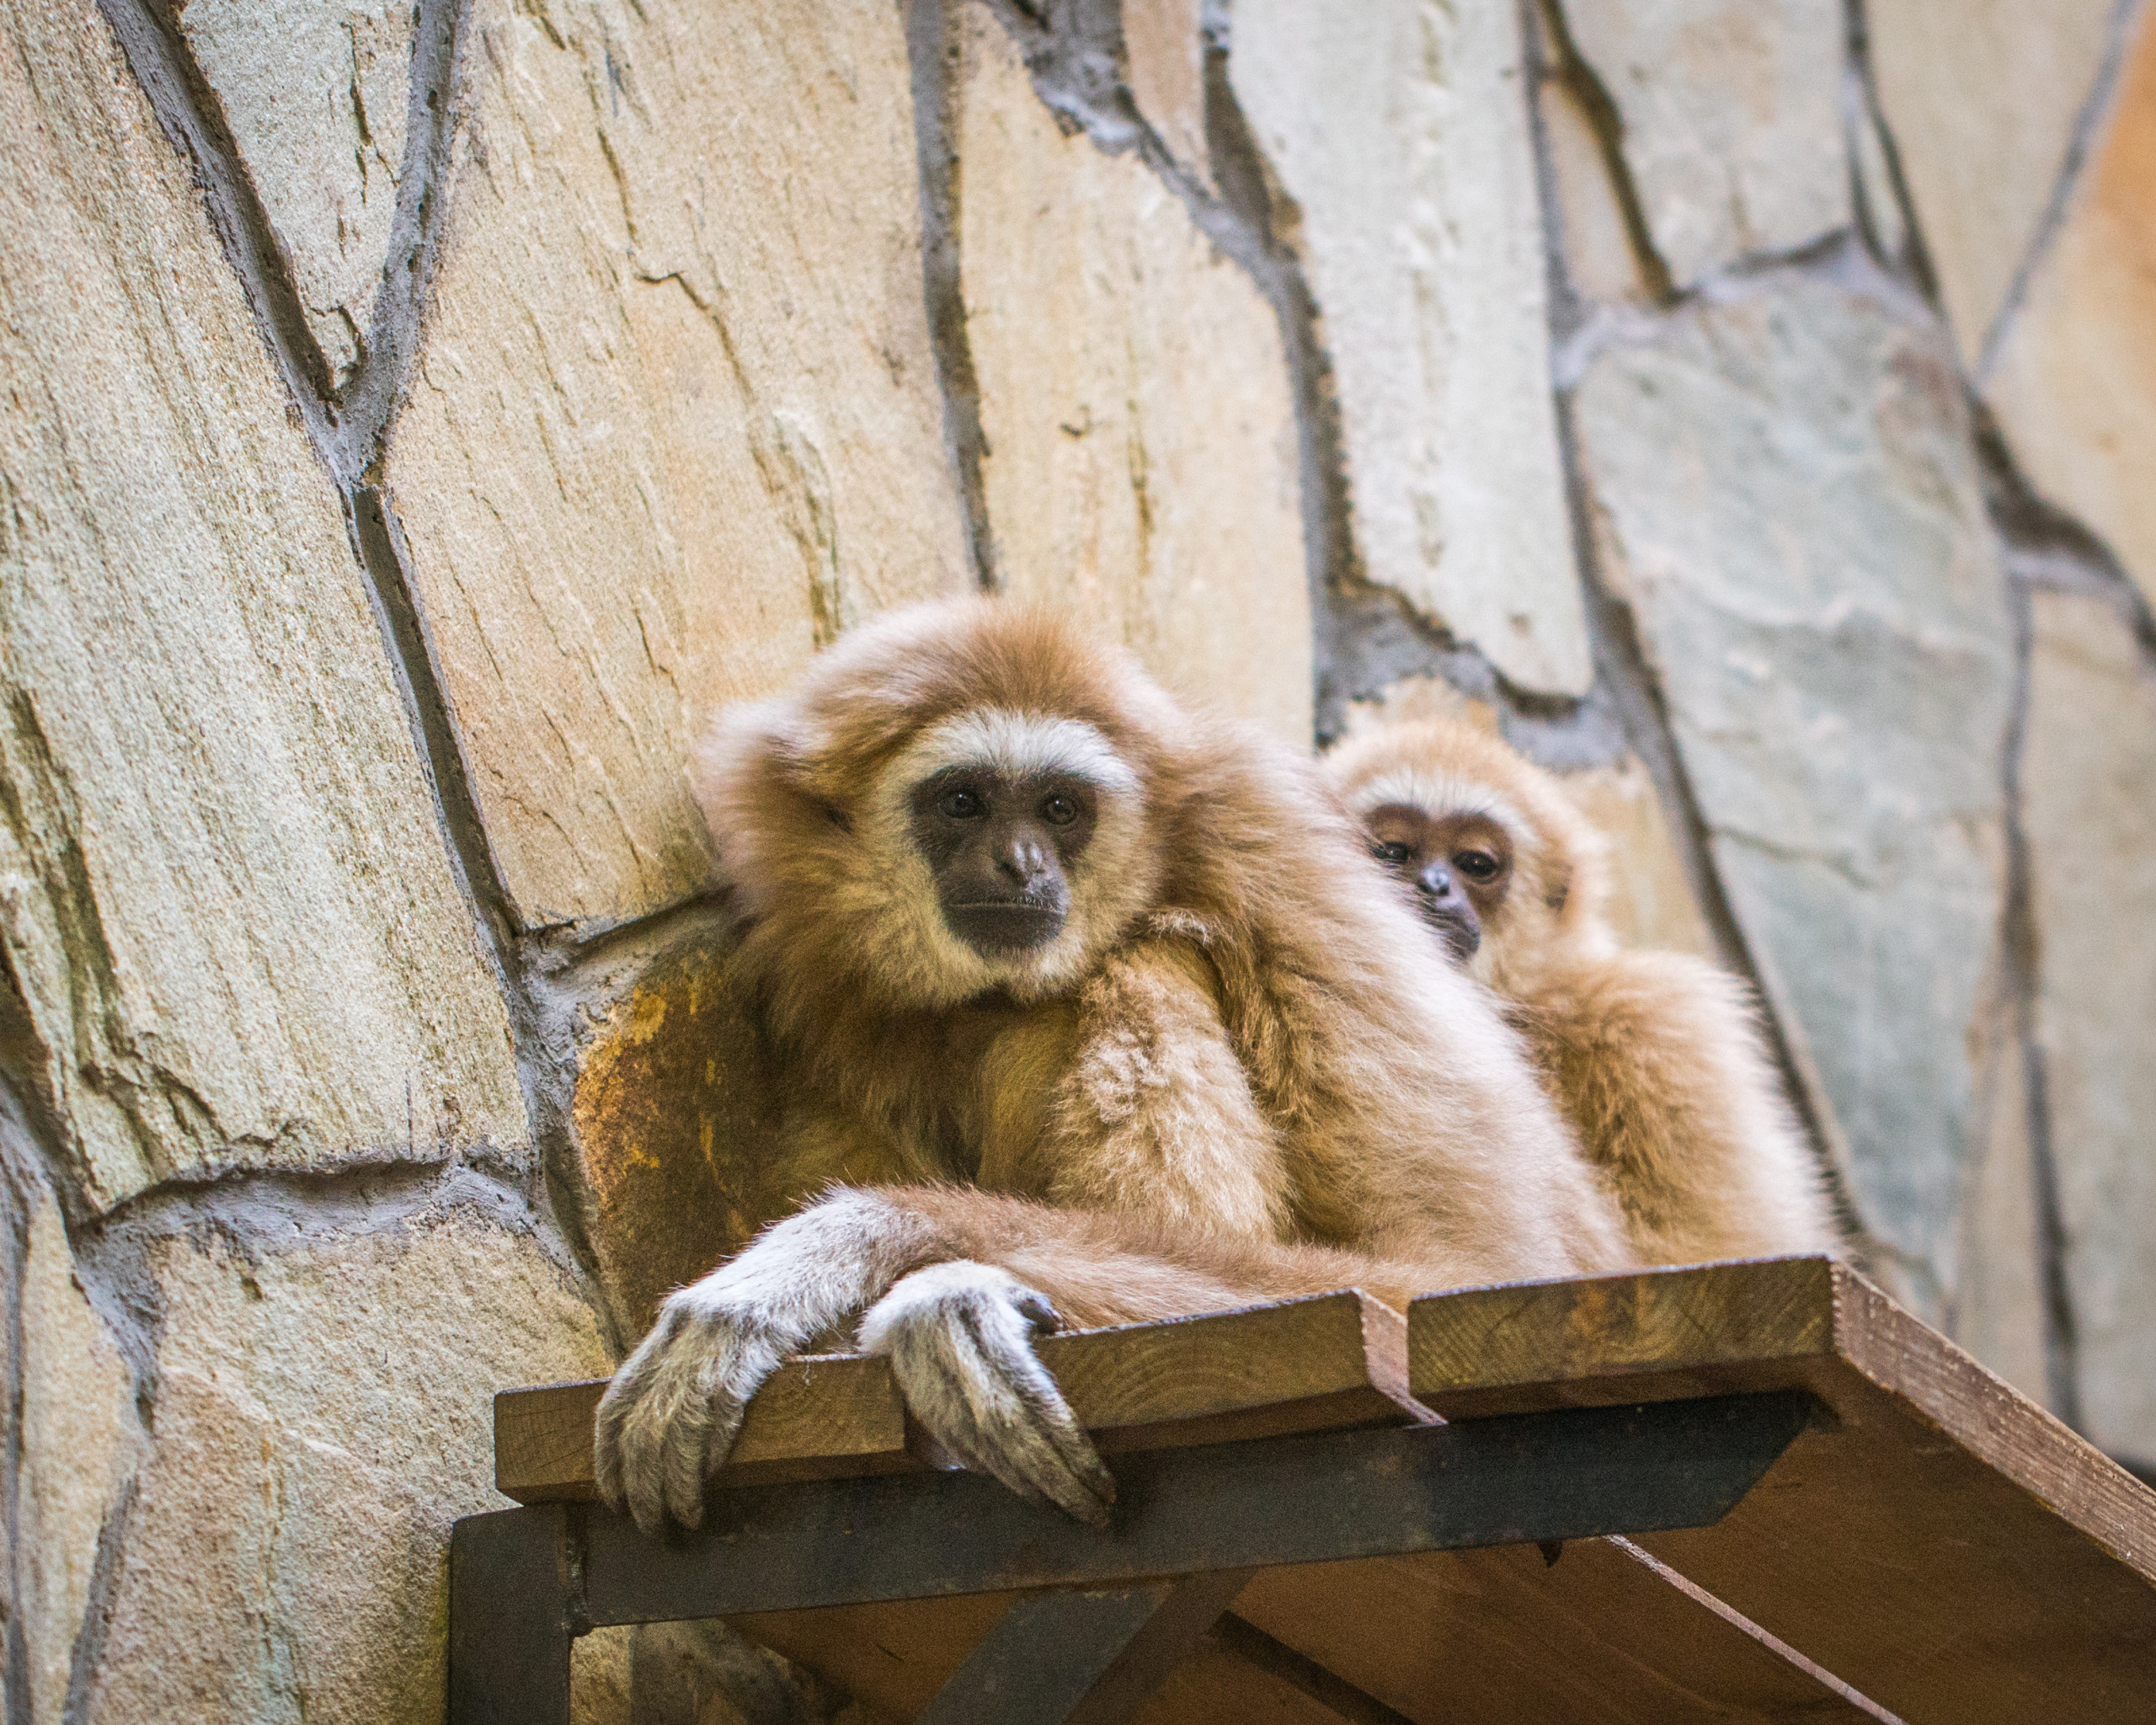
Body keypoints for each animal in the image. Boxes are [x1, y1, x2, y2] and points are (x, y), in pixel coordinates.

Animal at [595, 598, 1634, 1536]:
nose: (1020, 863)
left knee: (1141, 959)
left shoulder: (1288, 883)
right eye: (963, 801)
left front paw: (869, 1257)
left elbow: (1441, 1269)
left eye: (1060, 807)